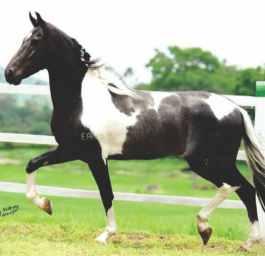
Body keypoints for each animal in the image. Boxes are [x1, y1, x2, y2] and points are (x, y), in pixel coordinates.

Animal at [4, 12, 264, 250]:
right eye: (24, 39)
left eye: (35, 40)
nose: (9, 73)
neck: (82, 101)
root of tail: (236, 109)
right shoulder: (69, 150)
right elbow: (32, 163)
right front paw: (46, 205)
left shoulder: (95, 157)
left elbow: (106, 194)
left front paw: (105, 235)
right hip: (215, 162)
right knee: (246, 189)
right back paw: (246, 243)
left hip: (208, 161)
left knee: (235, 187)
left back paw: (207, 228)